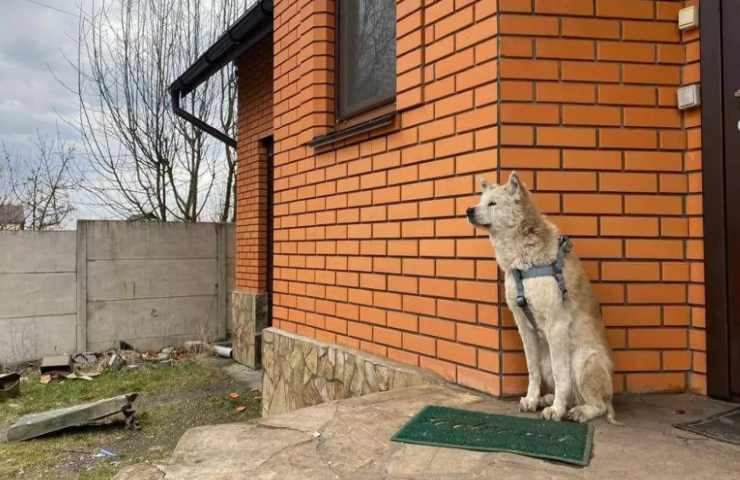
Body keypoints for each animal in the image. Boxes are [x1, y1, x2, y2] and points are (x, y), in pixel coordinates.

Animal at [468, 172, 620, 424]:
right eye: (481, 201)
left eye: (493, 204)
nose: (468, 210)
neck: (523, 262)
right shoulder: (524, 326)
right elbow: (532, 370)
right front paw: (531, 399)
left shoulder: (556, 324)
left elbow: (561, 375)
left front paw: (556, 411)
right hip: (548, 357)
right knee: (572, 393)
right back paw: (546, 399)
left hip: (585, 360)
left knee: (597, 404)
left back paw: (577, 410)